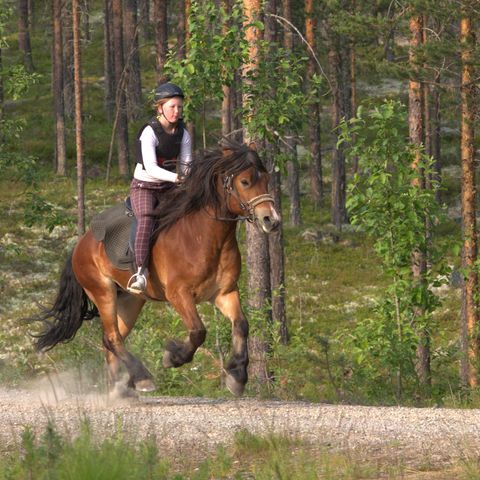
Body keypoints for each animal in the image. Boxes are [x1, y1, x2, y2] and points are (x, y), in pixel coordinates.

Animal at [33, 142, 280, 398]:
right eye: (245, 182)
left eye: (266, 179)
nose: (271, 220)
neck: (206, 237)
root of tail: (80, 244)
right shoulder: (179, 294)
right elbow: (198, 331)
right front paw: (173, 356)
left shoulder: (224, 293)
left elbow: (241, 325)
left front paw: (237, 376)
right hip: (102, 292)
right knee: (112, 338)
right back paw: (142, 378)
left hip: (130, 301)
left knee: (112, 339)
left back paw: (118, 390)